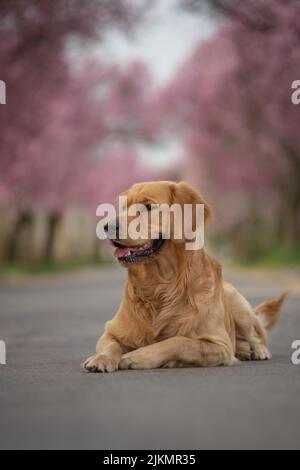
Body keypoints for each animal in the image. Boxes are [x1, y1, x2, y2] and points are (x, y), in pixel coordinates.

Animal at [83, 182, 288, 372]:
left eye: (148, 206)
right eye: (124, 207)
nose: (107, 226)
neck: (159, 285)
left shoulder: (219, 345)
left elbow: (178, 341)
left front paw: (137, 356)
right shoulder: (111, 330)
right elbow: (110, 345)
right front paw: (101, 358)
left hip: (236, 302)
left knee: (255, 334)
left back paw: (258, 350)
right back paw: (244, 350)